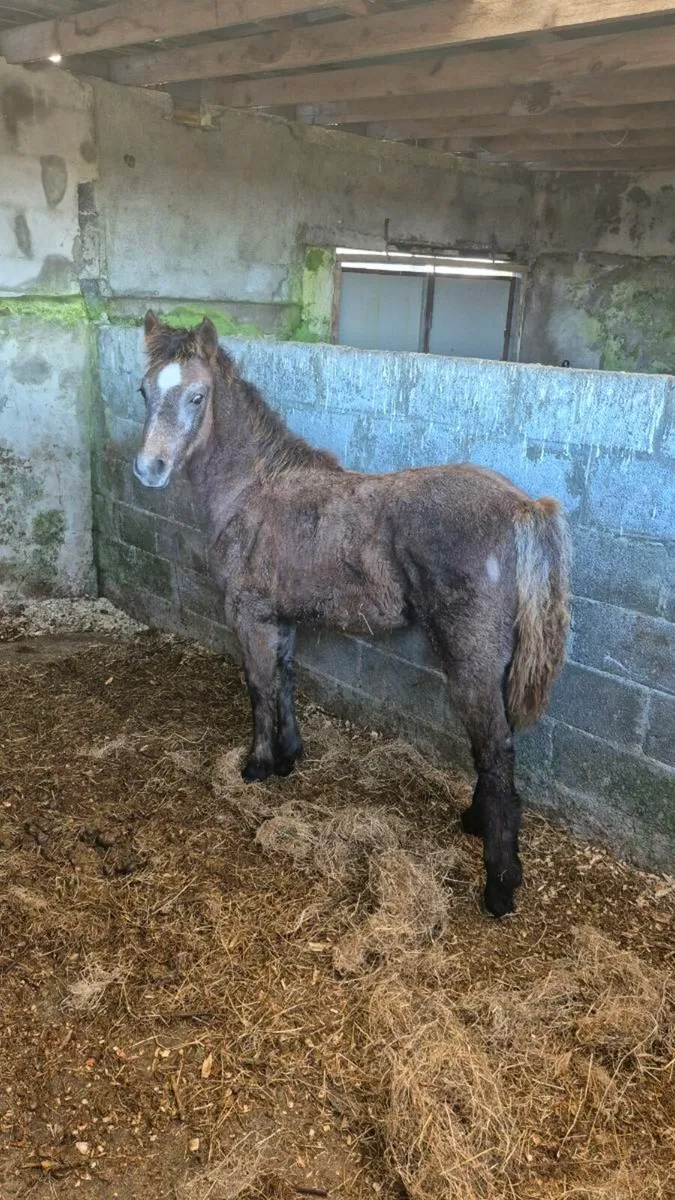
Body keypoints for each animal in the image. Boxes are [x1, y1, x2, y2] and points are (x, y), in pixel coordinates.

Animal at [133, 312, 571, 918]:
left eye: (197, 396)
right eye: (144, 390)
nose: (149, 468)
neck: (255, 490)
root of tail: (522, 507)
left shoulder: (248, 614)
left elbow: (258, 687)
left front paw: (257, 766)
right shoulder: (281, 618)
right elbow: (284, 680)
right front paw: (290, 758)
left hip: (471, 656)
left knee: (495, 749)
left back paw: (499, 886)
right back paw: (473, 823)